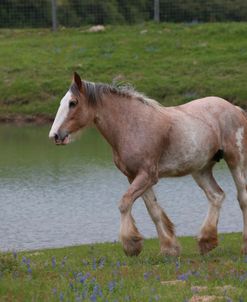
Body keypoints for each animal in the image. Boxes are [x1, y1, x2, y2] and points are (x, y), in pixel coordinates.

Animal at [48, 72, 247, 256]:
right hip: (201, 169)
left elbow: (125, 203)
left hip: (235, 160)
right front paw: (169, 249)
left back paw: (242, 246)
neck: (132, 125)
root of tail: (235, 108)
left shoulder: (147, 176)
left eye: (73, 103)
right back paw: (206, 241)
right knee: (216, 196)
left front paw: (131, 244)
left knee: (242, 197)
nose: (55, 135)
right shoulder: (134, 177)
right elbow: (154, 211)